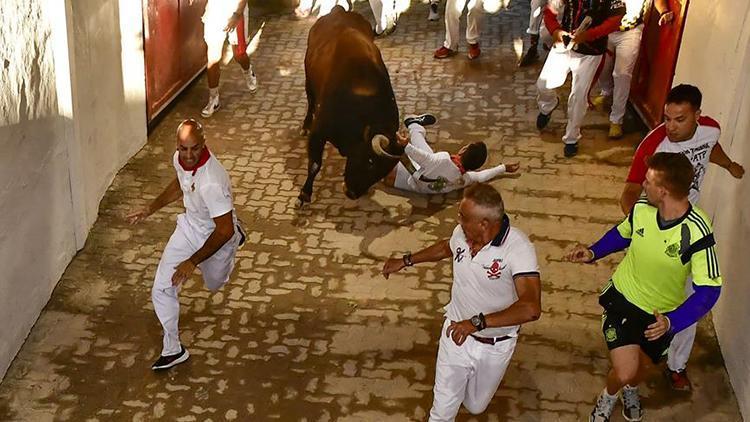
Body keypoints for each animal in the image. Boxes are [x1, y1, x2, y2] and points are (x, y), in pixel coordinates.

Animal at [298, 4, 406, 206]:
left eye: (385, 171)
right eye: (370, 162)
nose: (352, 193)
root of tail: (338, 10)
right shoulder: (319, 132)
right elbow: (315, 164)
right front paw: (304, 194)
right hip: (309, 82)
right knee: (310, 102)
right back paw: (305, 125)